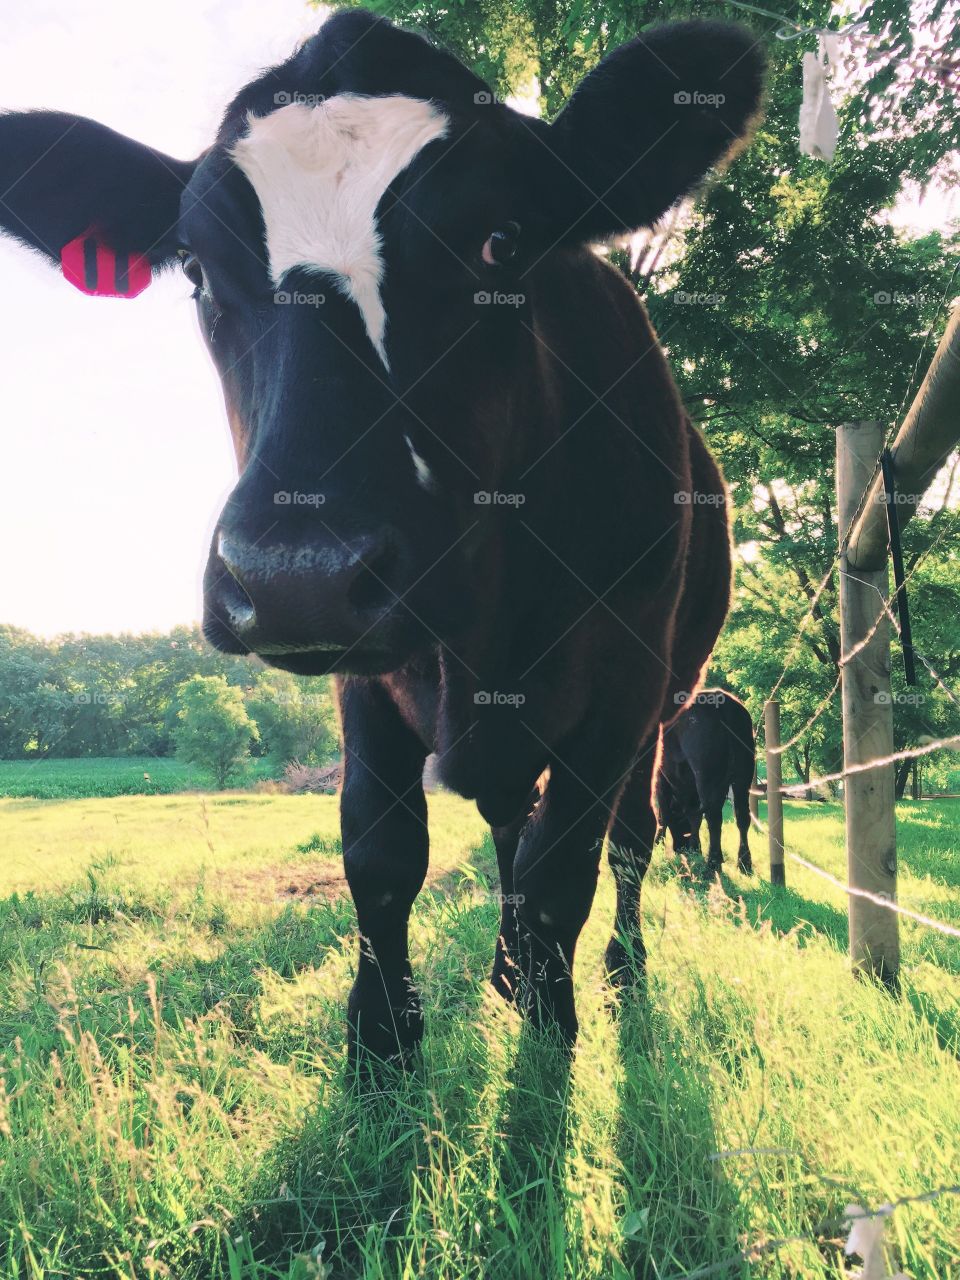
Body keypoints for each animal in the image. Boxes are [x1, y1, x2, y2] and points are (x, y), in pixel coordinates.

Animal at [660, 691, 757, 880]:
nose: (680, 848)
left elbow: (663, 815)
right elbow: (694, 817)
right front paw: (695, 849)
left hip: (707, 776)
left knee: (713, 817)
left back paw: (712, 865)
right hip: (743, 775)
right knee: (742, 815)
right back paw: (744, 863)